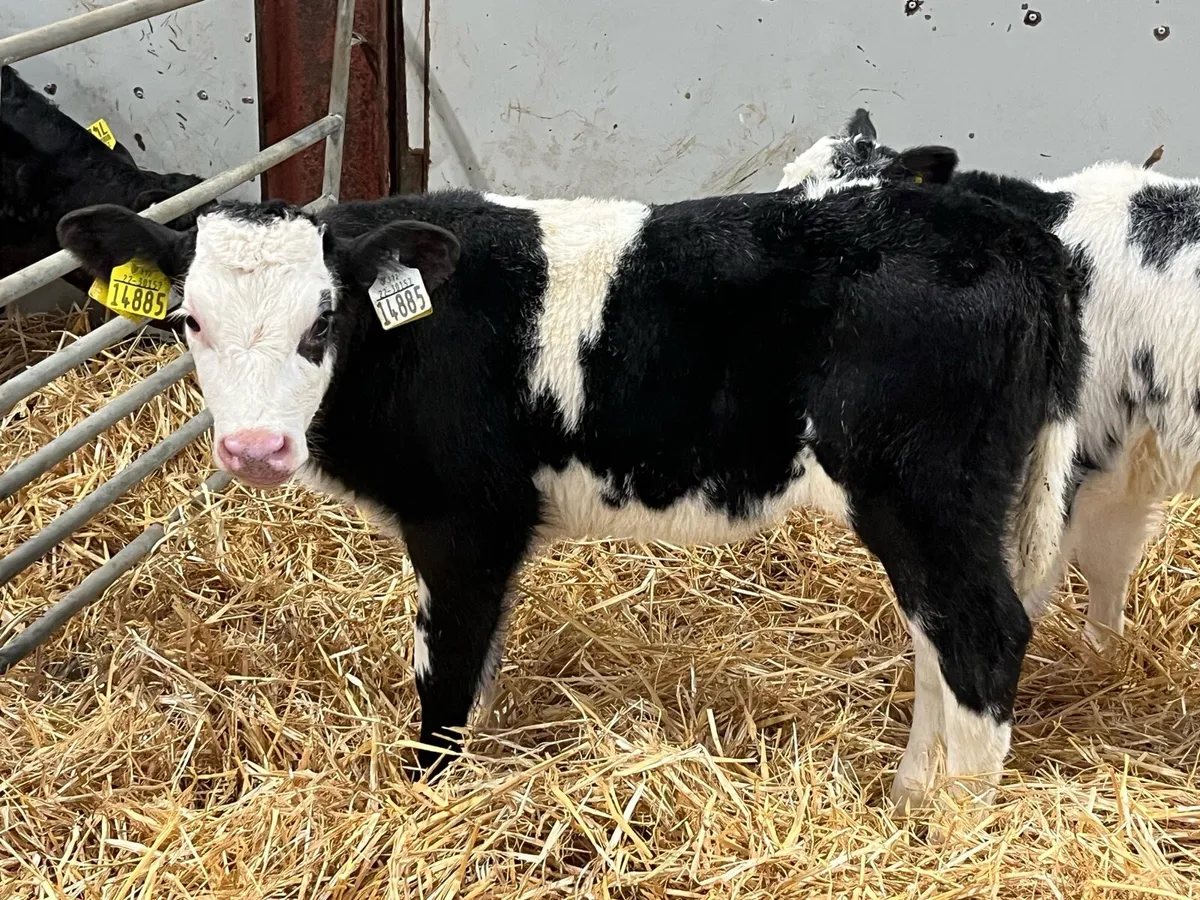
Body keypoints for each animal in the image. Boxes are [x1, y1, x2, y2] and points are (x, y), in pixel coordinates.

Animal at [56, 174, 1084, 810]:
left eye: (324, 317)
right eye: (189, 318)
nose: (256, 448)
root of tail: (1012, 233)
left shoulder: (465, 520)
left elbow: (446, 674)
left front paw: (423, 795)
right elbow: (481, 665)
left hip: (923, 490)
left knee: (983, 634)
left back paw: (951, 828)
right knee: (938, 639)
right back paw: (913, 797)